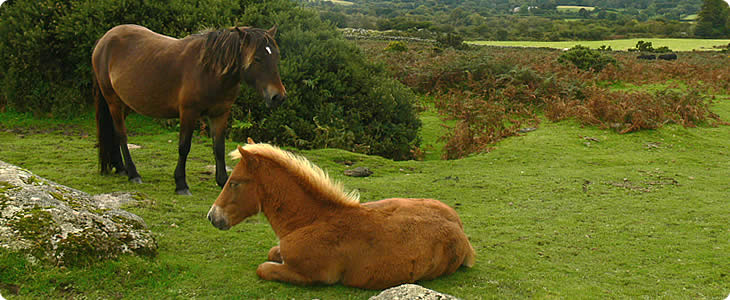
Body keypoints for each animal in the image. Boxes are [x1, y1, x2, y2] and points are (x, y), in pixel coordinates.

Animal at [91, 25, 284, 195]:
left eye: (276, 58)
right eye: (257, 58)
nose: (278, 97)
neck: (209, 70)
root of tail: (104, 40)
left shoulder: (220, 114)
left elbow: (219, 148)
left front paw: (223, 181)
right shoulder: (188, 113)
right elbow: (184, 147)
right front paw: (181, 184)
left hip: (126, 104)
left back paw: (120, 167)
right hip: (114, 102)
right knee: (121, 135)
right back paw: (133, 173)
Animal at [208, 139, 474, 290]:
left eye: (235, 182)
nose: (213, 216)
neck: (310, 221)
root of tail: (462, 233)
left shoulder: (311, 276)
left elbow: (263, 267)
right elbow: (273, 252)